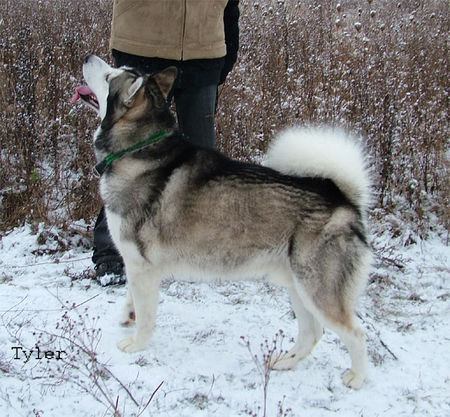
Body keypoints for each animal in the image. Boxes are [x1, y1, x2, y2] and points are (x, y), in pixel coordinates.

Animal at [74, 54, 372, 386]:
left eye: (109, 76)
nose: (88, 57)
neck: (137, 149)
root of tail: (344, 200)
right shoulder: (137, 265)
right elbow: (132, 299)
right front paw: (128, 315)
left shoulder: (142, 266)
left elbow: (147, 315)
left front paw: (137, 343)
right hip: (298, 287)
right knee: (313, 331)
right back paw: (285, 362)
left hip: (318, 291)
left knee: (356, 333)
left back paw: (357, 377)